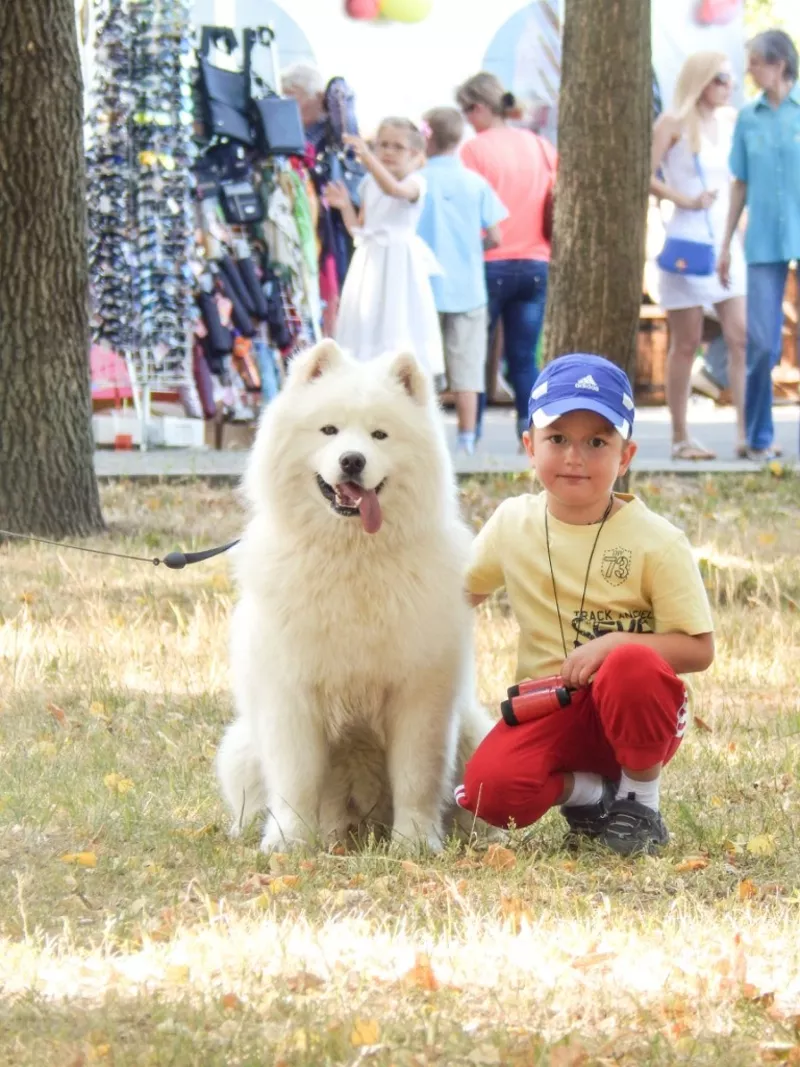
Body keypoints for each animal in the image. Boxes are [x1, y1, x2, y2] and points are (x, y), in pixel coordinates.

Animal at [217, 337, 494, 853]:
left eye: (380, 436)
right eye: (329, 430)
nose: (352, 460)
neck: (352, 556)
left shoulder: (418, 694)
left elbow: (416, 775)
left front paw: (414, 842)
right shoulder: (292, 693)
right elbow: (297, 778)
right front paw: (288, 842)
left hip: (475, 730)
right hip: (240, 747)